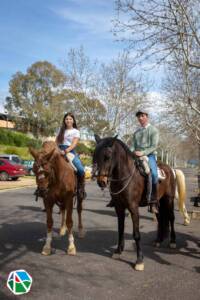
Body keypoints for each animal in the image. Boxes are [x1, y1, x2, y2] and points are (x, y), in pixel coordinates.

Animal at [93, 136, 188, 272]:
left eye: (107, 156)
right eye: (95, 155)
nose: (101, 181)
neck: (126, 176)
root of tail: (171, 169)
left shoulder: (133, 208)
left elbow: (136, 234)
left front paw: (139, 261)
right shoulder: (119, 208)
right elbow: (120, 229)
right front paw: (118, 251)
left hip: (168, 200)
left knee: (171, 218)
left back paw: (172, 241)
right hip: (157, 203)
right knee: (160, 219)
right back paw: (158, 240)